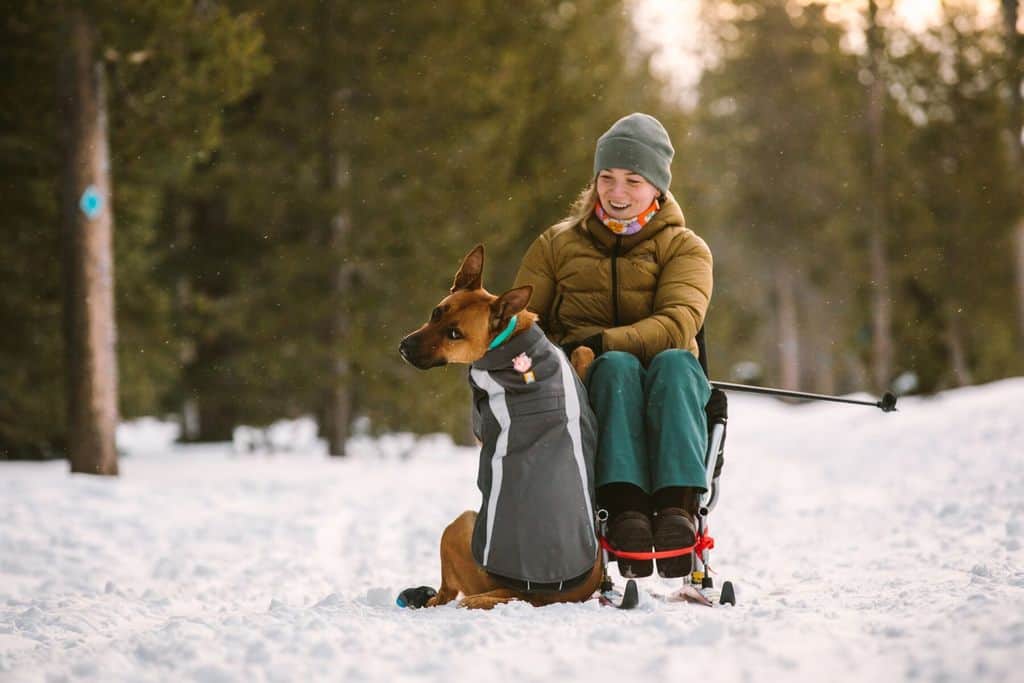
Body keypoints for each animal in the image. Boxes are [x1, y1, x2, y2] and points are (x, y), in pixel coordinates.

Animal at [397, 244, 598, 610]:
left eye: (454, 334)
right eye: (436, 312)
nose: (404, 348)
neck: (506, 340)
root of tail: (526, 594)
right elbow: (585, 352)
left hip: (458, 526)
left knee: (446, 592)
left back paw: (425, 598)